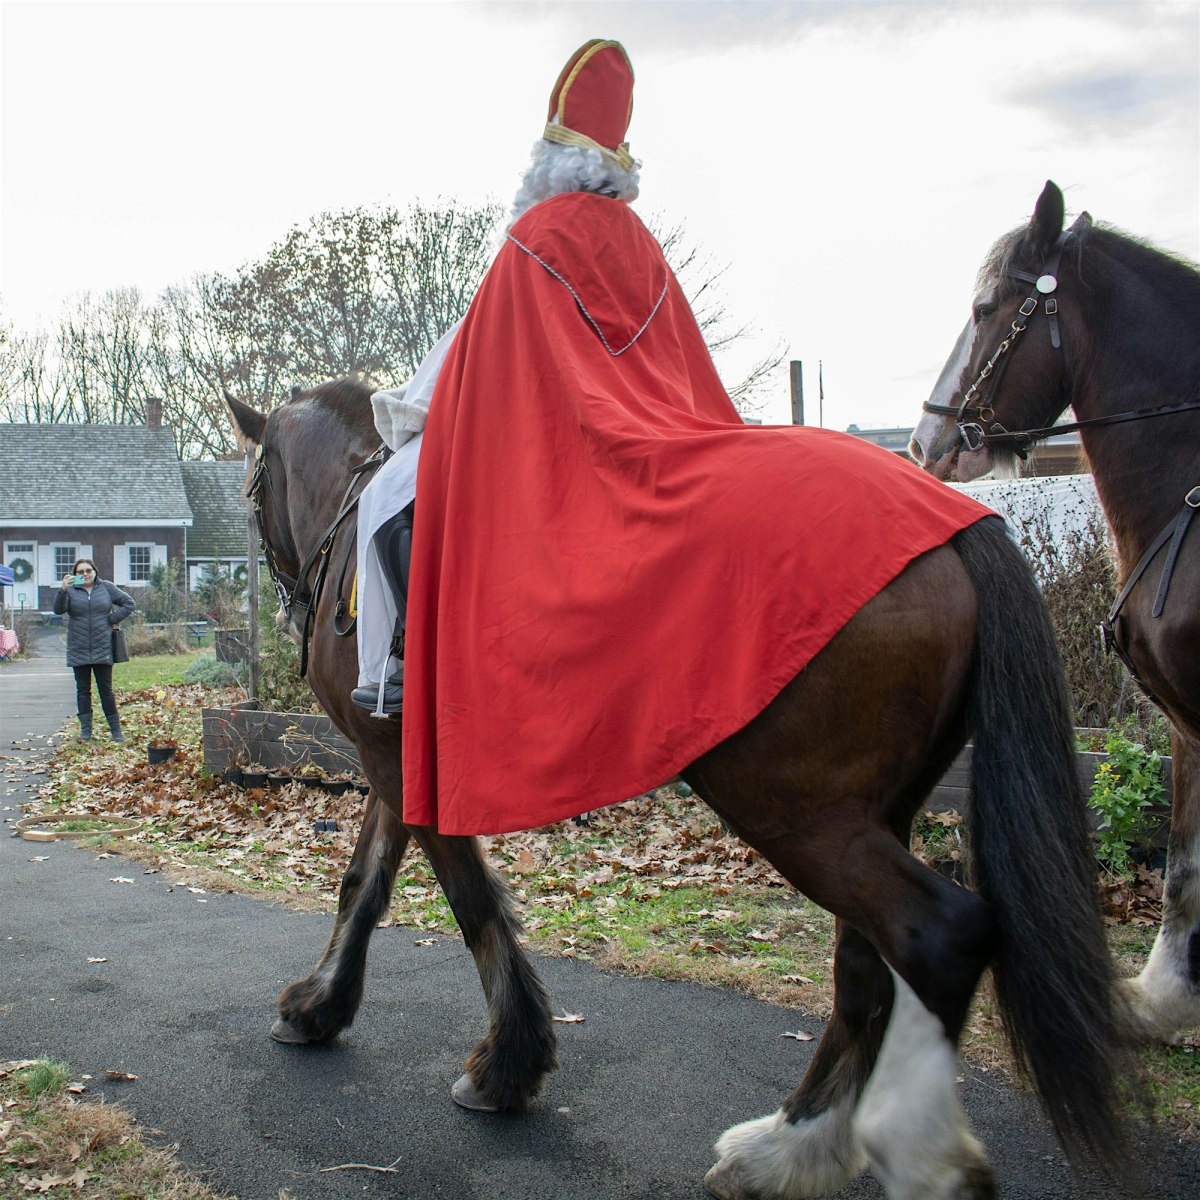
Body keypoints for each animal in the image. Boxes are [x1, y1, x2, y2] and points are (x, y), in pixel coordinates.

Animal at [226, 386, 1132, 1200]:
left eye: (252, 487)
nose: (290, 603)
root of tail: (951, 522)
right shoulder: (391, 756)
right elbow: (365, 882)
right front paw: (319, 1007)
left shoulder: (395, 757)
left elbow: (469, 901)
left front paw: (506, 1067)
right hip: (869, 815)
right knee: (867, 965)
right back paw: (793, 1150)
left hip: (796, 811)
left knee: (935, 934)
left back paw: (897, 1153)